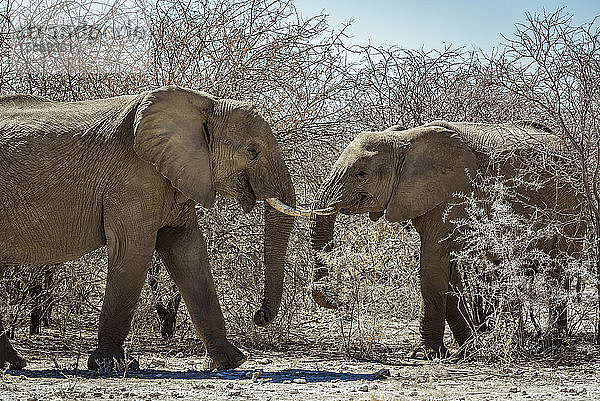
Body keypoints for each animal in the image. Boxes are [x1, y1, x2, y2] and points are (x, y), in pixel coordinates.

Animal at [0, 86, 300, 370]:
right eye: (252, 151)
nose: (259, 315)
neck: (204, 103)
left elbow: (188, 251)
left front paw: (230, 362)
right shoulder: (132, 177)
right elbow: (134, 251)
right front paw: (110, 364)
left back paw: (12, 363)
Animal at [312, 120, 584, 358]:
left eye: (361, 173)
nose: (338, 302)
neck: (404, 140)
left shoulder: (452, 195)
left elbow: (432, 265)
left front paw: (425, 354)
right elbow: (448, 273)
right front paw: (469, 348)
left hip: (571, 207)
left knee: (559, 270)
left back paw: (554, 340)